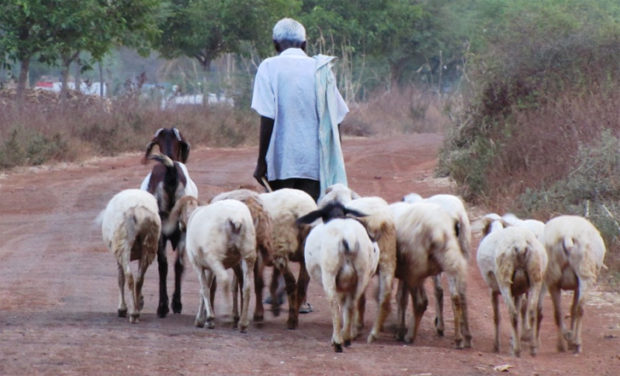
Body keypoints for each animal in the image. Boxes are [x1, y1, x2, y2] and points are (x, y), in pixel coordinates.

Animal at [100, 188, 161, 324]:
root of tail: (139, 213)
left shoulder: (118, 255)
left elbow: (120, 279)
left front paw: (122, 309)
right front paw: (140, 301)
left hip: (124, 244)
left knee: (129, 277)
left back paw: (133, 314)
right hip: (148, 244)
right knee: (139, 279)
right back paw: (136, 311)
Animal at [298, 201, 380, 352]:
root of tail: (348, 238)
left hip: (329, 273)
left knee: (334, 305)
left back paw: (337, 341)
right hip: (362, 275)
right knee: (352, 303)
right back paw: (346, 337)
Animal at [390, 201, 472, 348]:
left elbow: (401, 297)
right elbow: (401, 296)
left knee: (425, 299)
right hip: (456, 257)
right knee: (459, 295)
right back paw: (463, 338)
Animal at [478, 214, 544, 356]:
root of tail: (521, 245)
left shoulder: (493, 290)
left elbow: (496, 317)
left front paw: (497, 346)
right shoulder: (518, 291)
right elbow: (520, 309)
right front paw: (513, 340)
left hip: (504, 283)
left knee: (512, 314)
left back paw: (517, 351)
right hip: (535, 279)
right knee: (531, 311)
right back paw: (532, 347)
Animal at [544, 214, 604, 352]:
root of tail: (567, 233)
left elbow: (571, 309)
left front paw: (568, 338)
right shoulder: (577, 286)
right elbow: (575, 309)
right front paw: (572, 341)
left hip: (552, 276)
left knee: (558, 312)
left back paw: (562, 342)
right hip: (585, 273)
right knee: (580, 309)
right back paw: (576, 342)